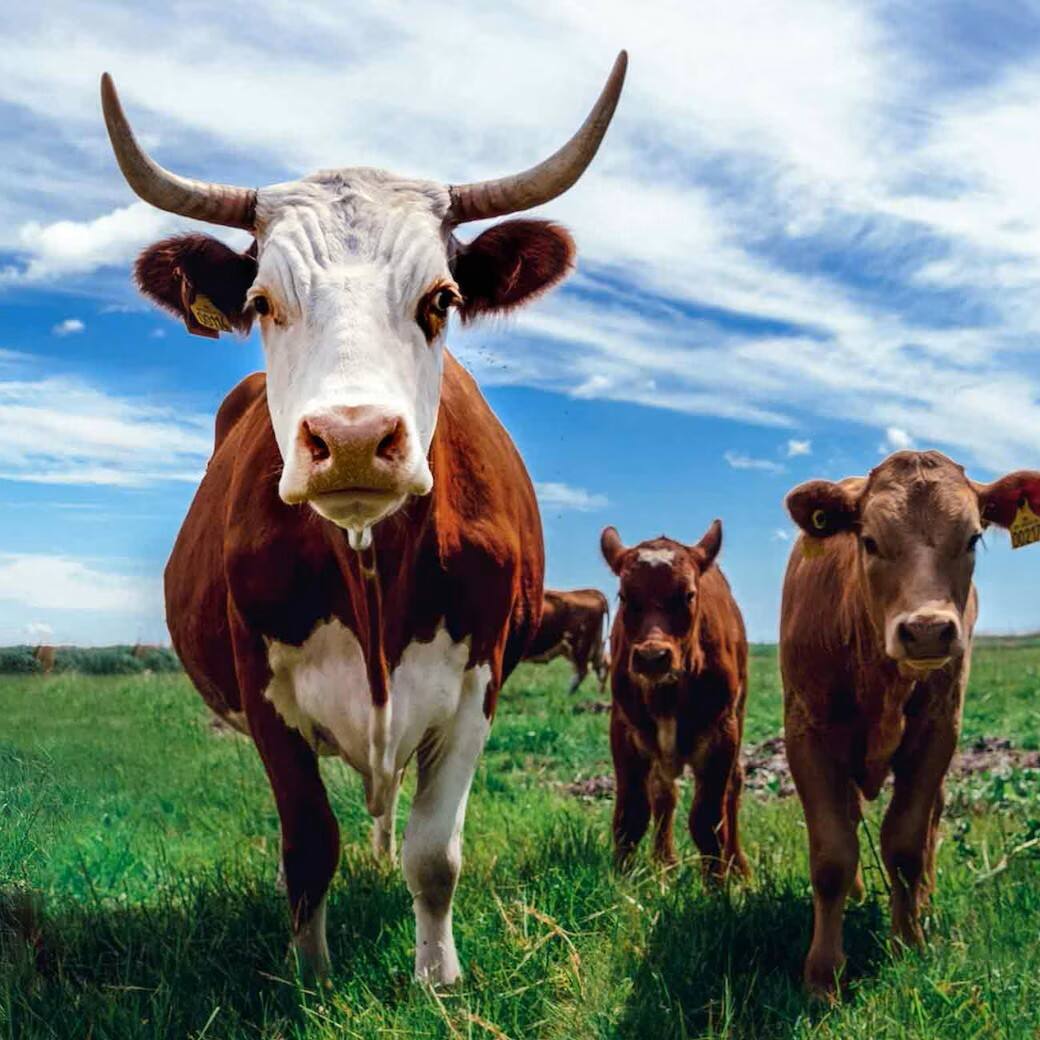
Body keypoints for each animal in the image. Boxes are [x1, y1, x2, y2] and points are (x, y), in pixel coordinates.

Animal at [99, 53, 627, 985]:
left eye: (442, 299)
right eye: (263, 302)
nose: (350, 439)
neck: (372, 568)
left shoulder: (479, 681)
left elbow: (434, 852)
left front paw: (437, 976)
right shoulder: (262, 690)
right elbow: (309, 845)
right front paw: (310, 973)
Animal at [600, 522, 749, 878]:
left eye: (688, 595)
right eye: (625, 596)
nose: (652, 657)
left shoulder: (722, 734)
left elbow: (708, 822)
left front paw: (717, 885)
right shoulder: (624, 730)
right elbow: (631, 816)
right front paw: (622, 882)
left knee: (734, 787)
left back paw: (738, 866)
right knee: (663, 793)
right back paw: (663, 862)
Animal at [780, 449, 1040, 995]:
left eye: (973, 538)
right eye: (869, 540)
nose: (926, 631)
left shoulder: (938, 732)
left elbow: (906, 843)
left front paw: (909, 944)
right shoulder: (806, 733)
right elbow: (832, 854)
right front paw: (823, 974)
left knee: (930, 822)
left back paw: (925, 900)